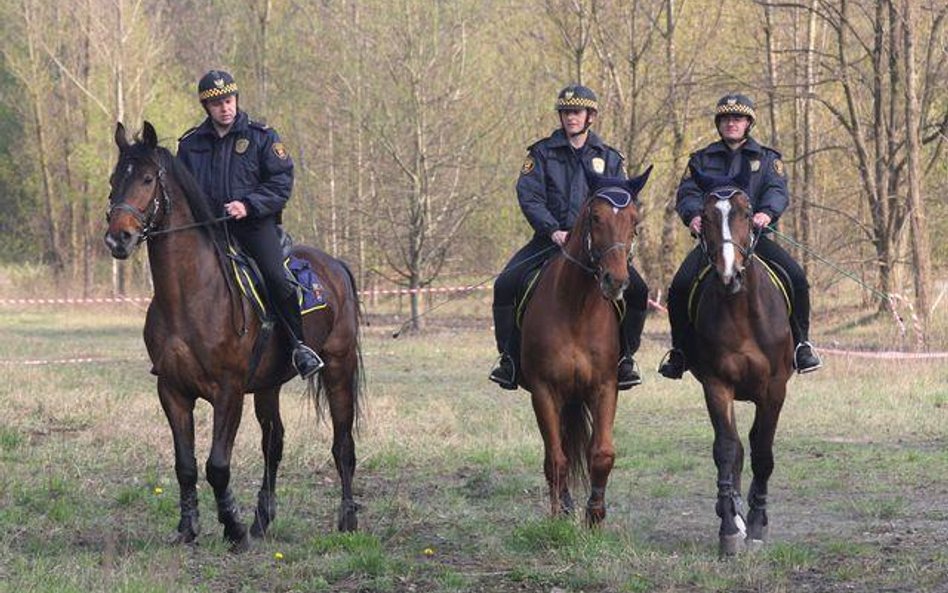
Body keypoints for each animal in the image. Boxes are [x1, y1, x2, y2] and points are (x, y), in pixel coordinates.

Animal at [104, 121, 362, 552]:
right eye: (113, 181)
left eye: (146, 179)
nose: (117, 239)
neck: (191, 294)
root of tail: (335, 265)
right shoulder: (172, 391)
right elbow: (186, 466)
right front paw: (189, 528)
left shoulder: (228, 391)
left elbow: (217, 466)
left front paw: (233, 529)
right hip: (269, 385)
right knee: (274, 443)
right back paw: (263, 519)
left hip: (339, 367)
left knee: (342, 444)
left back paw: (347, 520)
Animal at [520, 166, 652, 524]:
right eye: (595, 217)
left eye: (634, 220)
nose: (616, 281)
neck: (576, 308)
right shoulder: (544, 391)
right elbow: (556, 458)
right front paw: (560, 514)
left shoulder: (604, 388)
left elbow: (602, 453)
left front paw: (595, 514)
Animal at [684, 166, 796, 556]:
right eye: (705, 216)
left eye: (747, 213)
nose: (728, 274)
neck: (741, 309)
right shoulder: (717, 385)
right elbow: (727, 449)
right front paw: (730, 530)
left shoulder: (774, 389)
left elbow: (763, 452)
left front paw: (759, 524)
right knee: (734, 448)